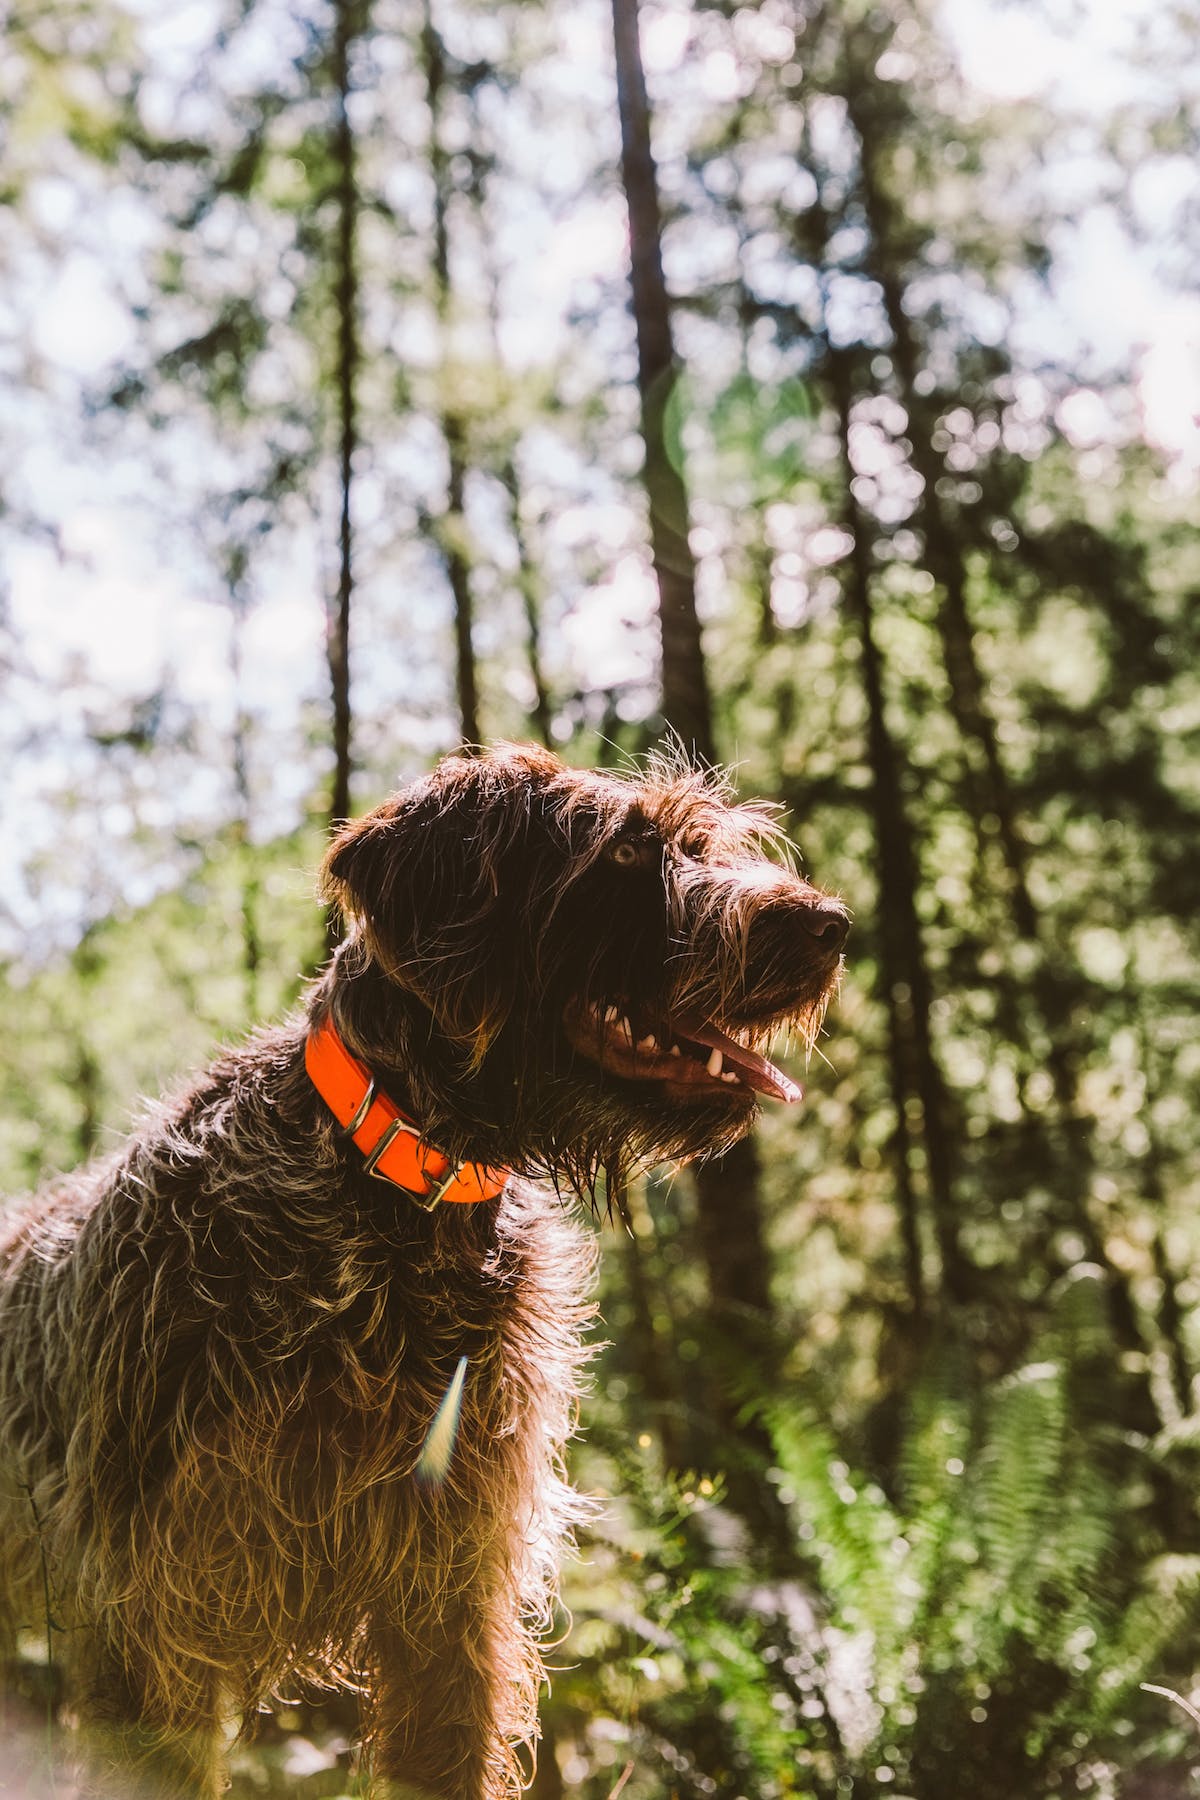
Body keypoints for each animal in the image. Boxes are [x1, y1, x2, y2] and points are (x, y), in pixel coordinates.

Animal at [0, 741, 845, 1800]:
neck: (396, 1205)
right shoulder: (152, 1636)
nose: (832, 926)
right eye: (623, 851)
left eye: (706, 841)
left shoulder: (454, 1604)